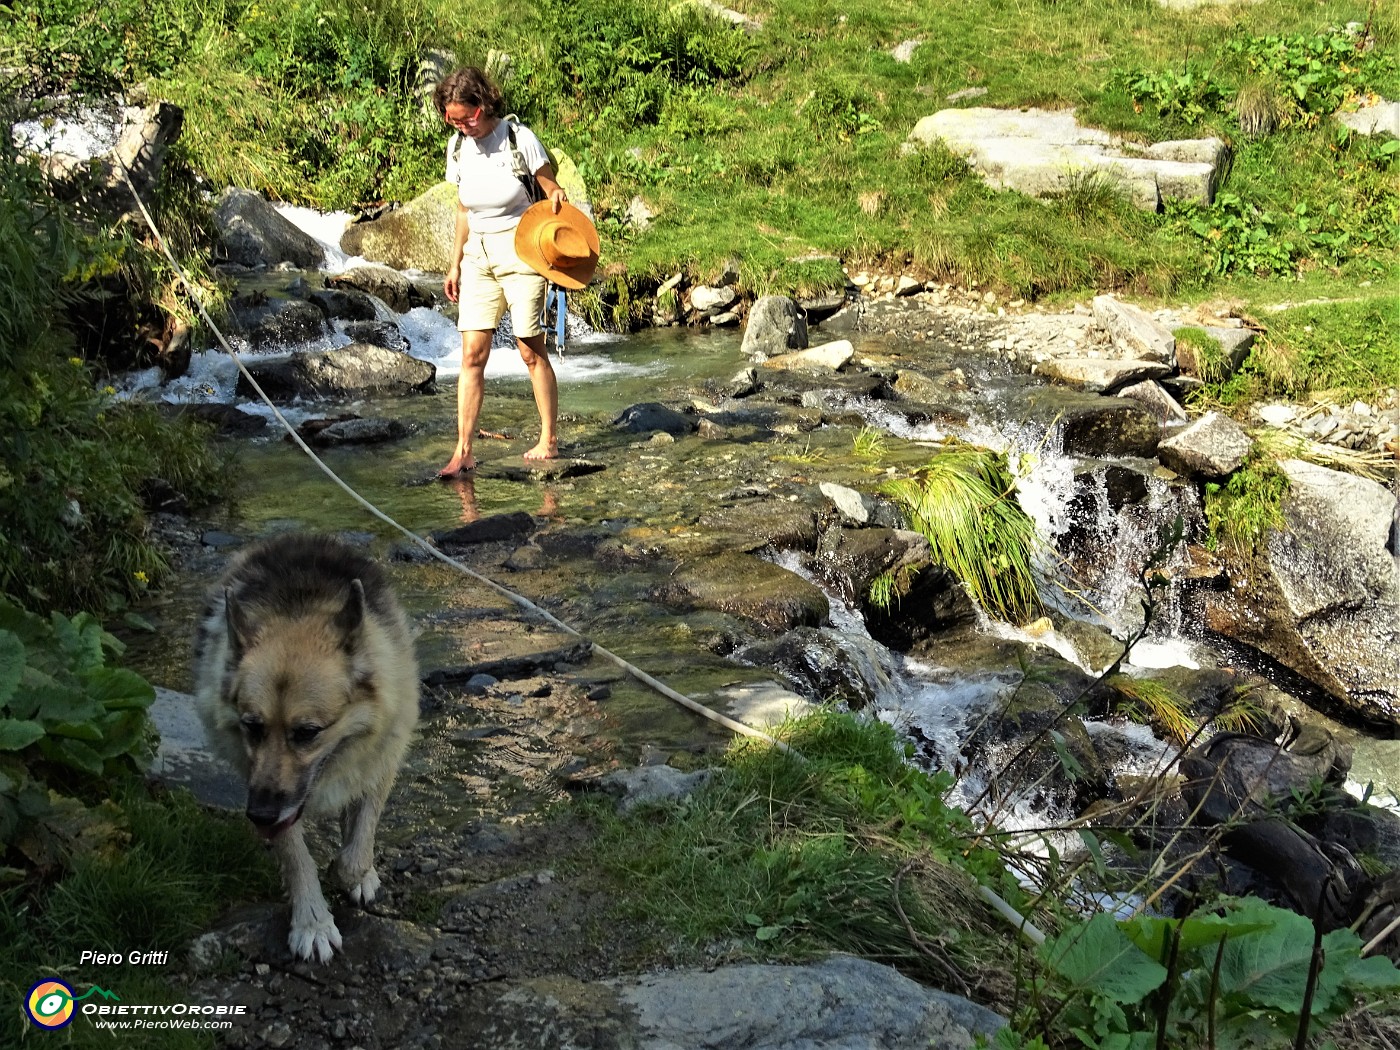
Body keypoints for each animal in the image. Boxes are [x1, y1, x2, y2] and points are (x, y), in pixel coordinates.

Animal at [194, 537, 417, 968]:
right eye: (252, 726)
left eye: (307, 732)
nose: (260, 815)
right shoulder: (265, 788)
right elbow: (296, 856)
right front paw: (312, 921)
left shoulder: (383, 756)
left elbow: (355, 851)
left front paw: (355, 871)